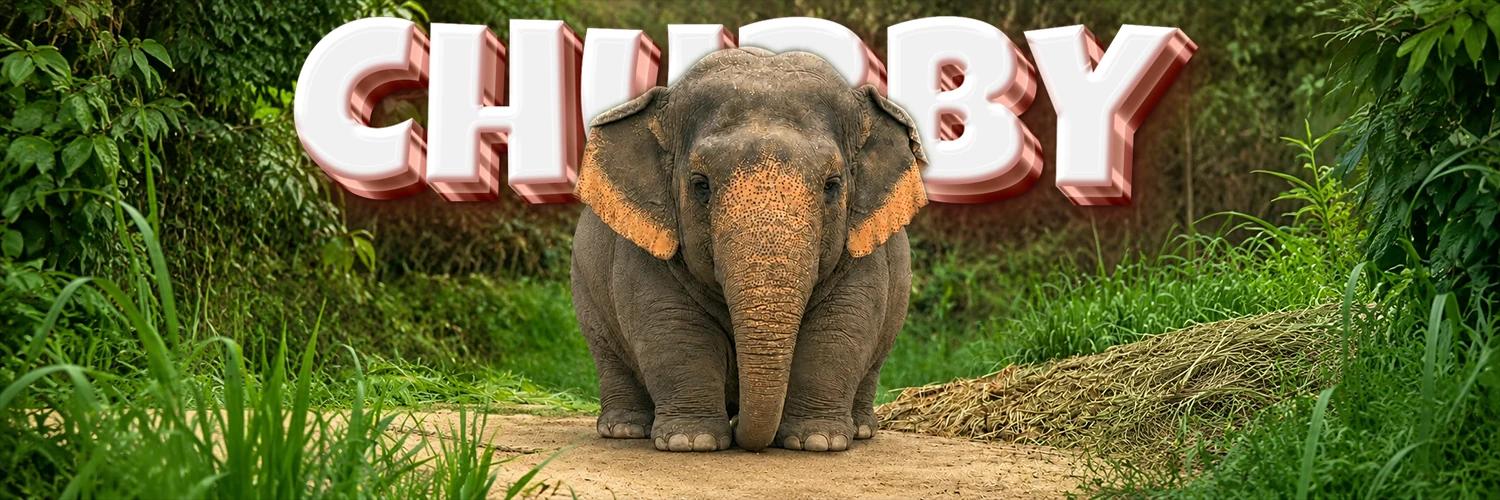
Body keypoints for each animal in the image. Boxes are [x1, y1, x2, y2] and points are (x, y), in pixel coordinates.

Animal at [570, 47, 927, 453]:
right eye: (701, 185)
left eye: (833, 185)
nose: (742, 428)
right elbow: (672, 325)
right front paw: (691, 442)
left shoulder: (862, 247)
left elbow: (841, 325)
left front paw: (817, 441)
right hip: (585, 288)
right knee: (608, 353)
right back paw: (624, 429)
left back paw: (862, 430)